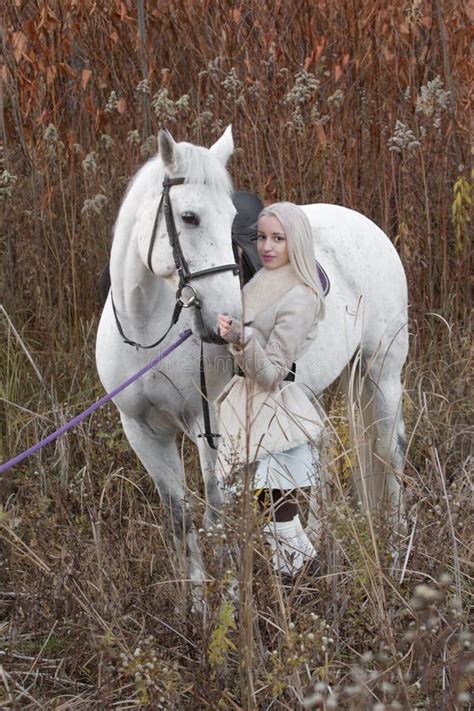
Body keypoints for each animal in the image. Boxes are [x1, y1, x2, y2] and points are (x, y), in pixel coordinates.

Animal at [96, 125, 408, 586]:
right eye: (189, 217)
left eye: (230, 219)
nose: (227, 316)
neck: (147, 332)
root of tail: (368, 226)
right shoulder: (142, 432)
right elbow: (181, 523)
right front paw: (195, 602)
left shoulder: (210, 429)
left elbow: (217, 520)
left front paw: (227, 595)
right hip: (305, 390)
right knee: (321, 446)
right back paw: (318, 545)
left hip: (381, 371)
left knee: (390, 451)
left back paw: (397, 550)